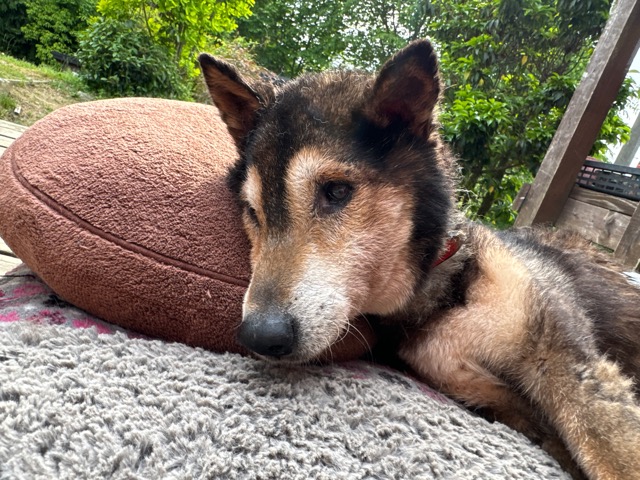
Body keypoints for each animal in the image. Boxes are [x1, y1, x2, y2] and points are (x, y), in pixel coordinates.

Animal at [198, 40, 640, 479]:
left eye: (336, 191)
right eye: (252, 211)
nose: (259, 335)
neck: (443, 298)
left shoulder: (571, 364)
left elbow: (611, 452)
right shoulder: (488, 394)